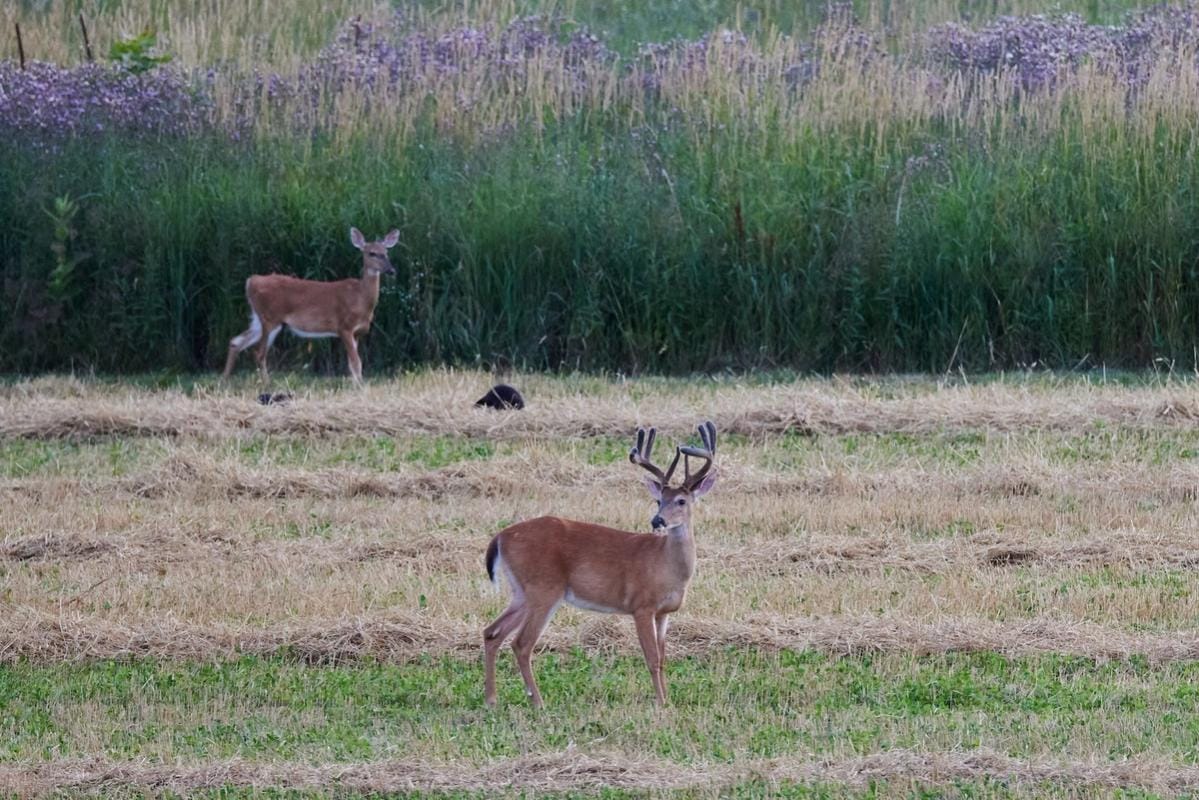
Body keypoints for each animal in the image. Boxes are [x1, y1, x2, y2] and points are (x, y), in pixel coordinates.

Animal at [222, 227, 399, 385]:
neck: (360, 298)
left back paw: (224, 380)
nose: (391, 270)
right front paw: (361, 387)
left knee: (236, 341)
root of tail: (251, 281)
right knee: (259, 353)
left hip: (259, 319)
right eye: (372, 253)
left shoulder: (357, 333)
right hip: (271, 319)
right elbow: (356, 363)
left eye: (386, 253)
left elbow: (352, 363)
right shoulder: (344, 327)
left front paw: (357, 385)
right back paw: (267, 384)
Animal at [483, 421, 717, 708]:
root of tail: (500, 537)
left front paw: (668, 699)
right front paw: (661, 703)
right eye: (658, 500)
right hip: (544, 589)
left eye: (681, 500)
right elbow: (652, 658)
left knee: (492, 632)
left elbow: (663, 658)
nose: (657, 520)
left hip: (521, 592)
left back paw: (491, 699)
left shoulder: (665, 612)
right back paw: (538, 702)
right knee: (522, 643)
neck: (667, 566)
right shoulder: (641, 606)